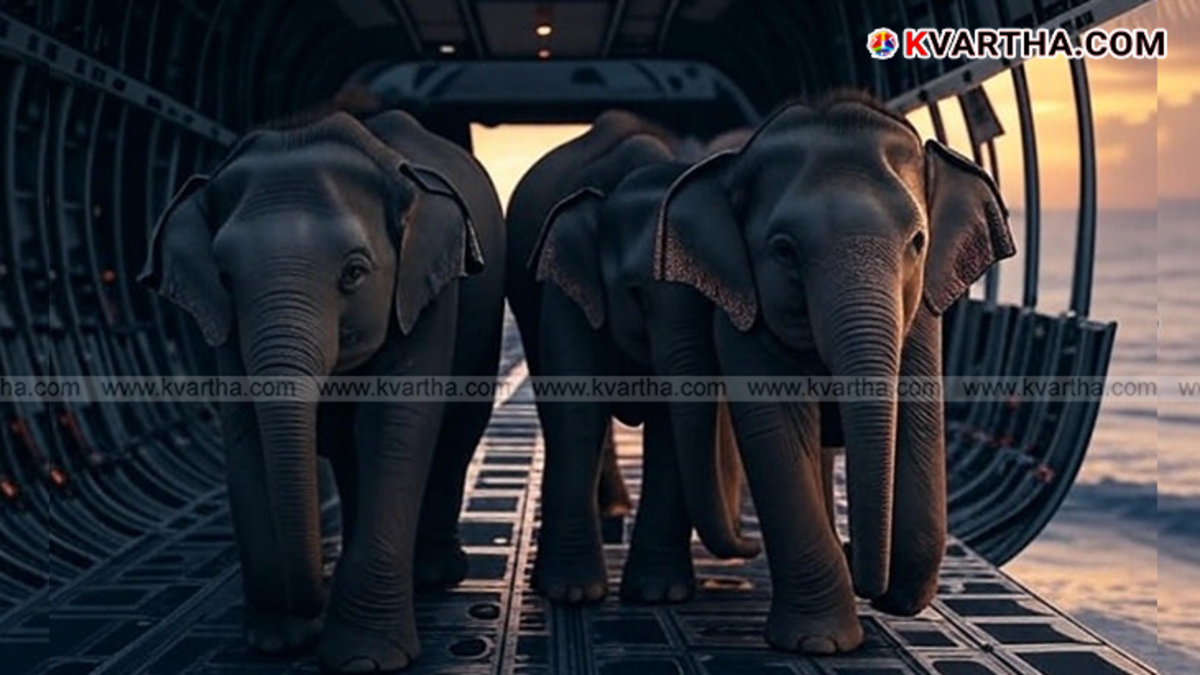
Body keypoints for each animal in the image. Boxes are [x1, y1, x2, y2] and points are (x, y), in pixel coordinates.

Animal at [139, 109, 505, 672]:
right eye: (224, 278)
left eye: (354, 273)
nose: (310, 605)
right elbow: (245, 434)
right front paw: (278, 643)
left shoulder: (428, 296)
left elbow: (393, 428)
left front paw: (364, 660)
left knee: (456, 435)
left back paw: (437, 575)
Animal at [507, 111, 761, 604]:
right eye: (636, 294)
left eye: (712, 300)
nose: (752, 546)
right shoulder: (565, 291)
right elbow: (577, 411)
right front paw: (571, 594)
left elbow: (671, 429)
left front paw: (658, 594)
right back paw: (609, 510)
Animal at [653, 92, 1016, 653]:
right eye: (784, 250)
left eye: (917, 241)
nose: (871, 582)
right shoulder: (745, 316)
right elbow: (776, 431)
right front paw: (817, 643)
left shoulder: (924, 311)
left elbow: (919, 417)